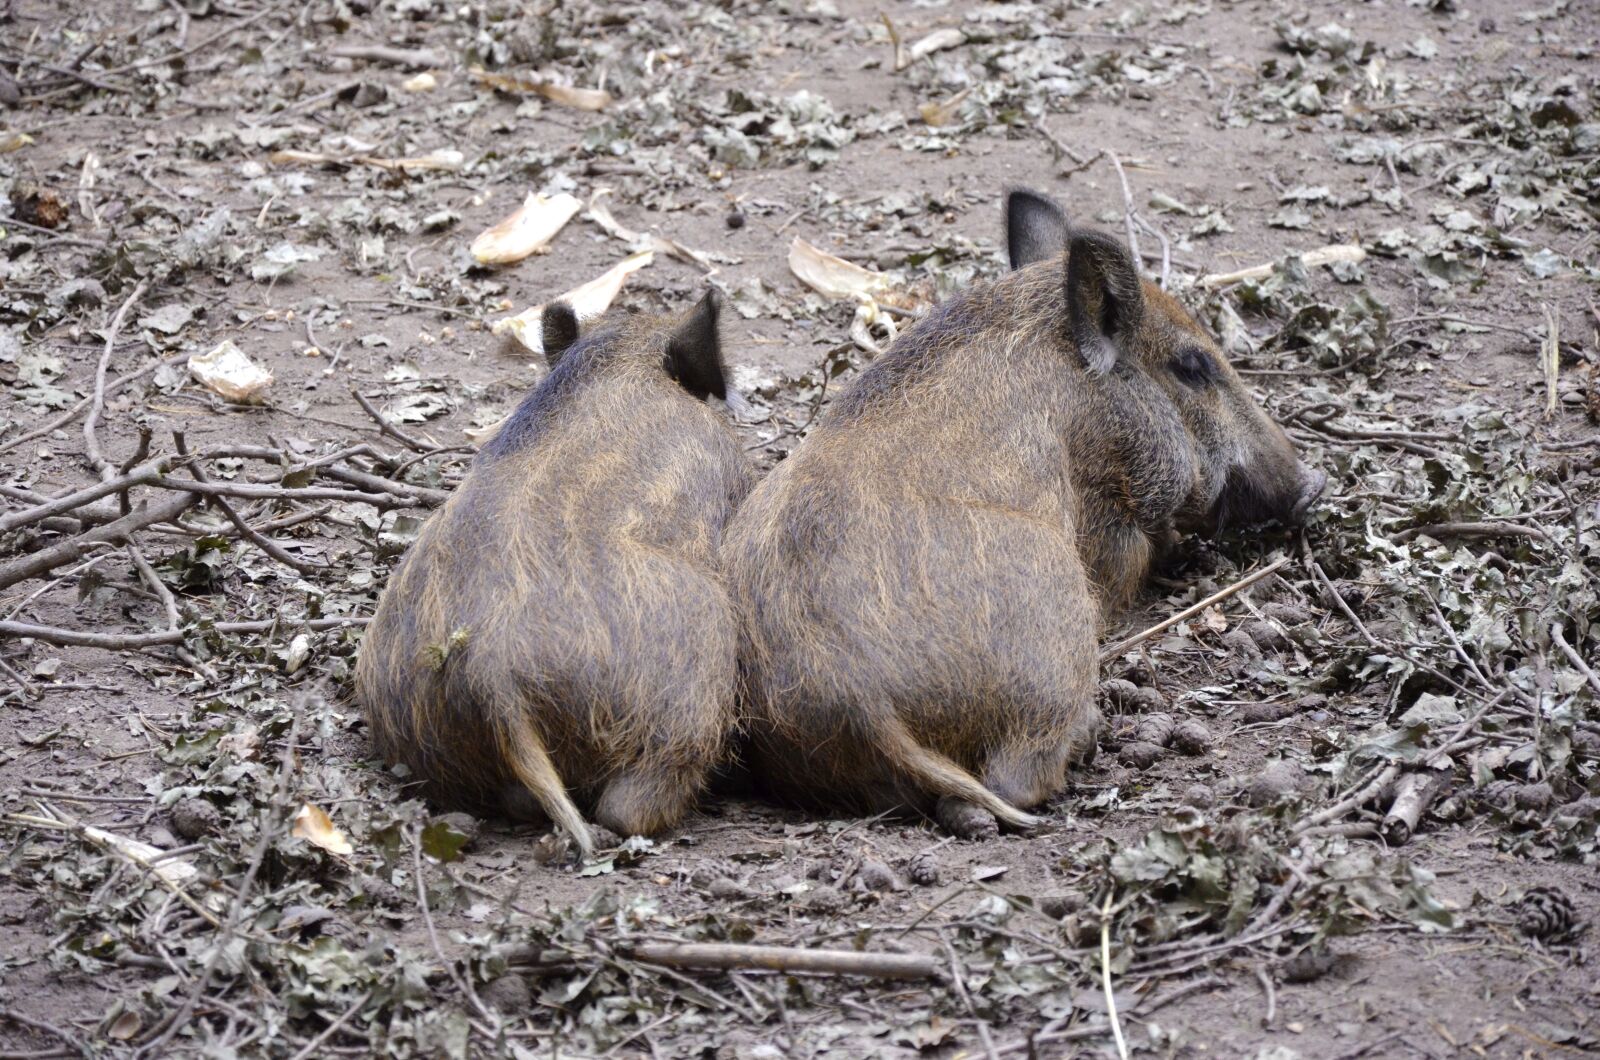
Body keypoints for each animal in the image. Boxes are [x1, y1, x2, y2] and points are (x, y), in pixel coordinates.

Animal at [720, 189, 1325, 838]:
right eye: (1193, 365)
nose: (1313, 484)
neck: (1091, 401)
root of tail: (858, 701)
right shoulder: (1111, 522)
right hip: (1057, 633)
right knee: (1017, 777)